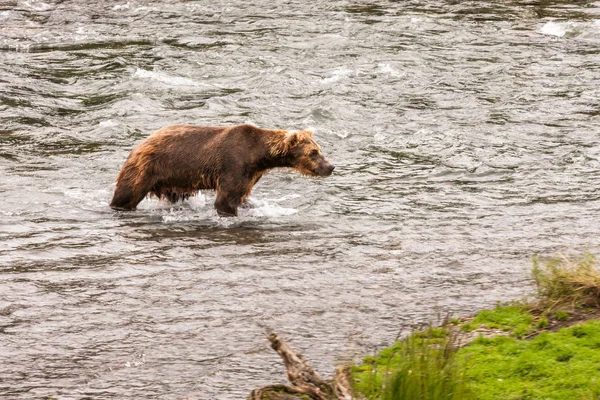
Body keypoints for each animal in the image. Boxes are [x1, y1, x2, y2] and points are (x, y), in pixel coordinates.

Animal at [110, 123, 336, 216]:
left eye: (319, 149)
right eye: (313, 152)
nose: (331, 167)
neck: (258, 157)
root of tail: (138, 145)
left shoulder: (251, 175)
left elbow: (242, 196)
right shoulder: (234, 164)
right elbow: (225, 200)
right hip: (146, 167)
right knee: (126, 193)